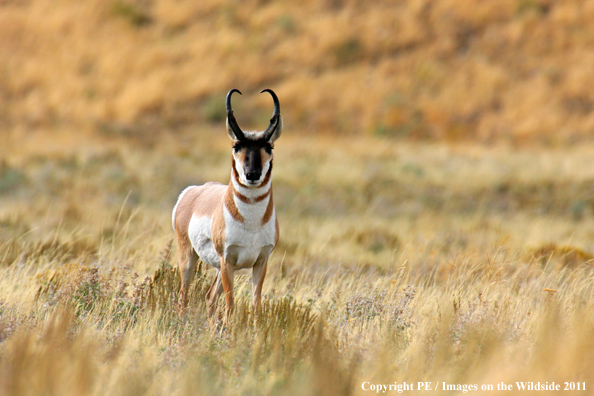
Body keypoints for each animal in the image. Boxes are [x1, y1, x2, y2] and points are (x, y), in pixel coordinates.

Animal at [171, 88, 282, 324]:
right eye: (236, 146)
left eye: (268, 146)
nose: (252, 174)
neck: (251, 223)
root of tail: (191, 192)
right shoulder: (227, 261)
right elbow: (231, 306)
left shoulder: (261, 262)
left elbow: (256, 306)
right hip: (189, 258)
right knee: (183, 295)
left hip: (218, 269)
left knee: (209, 297)